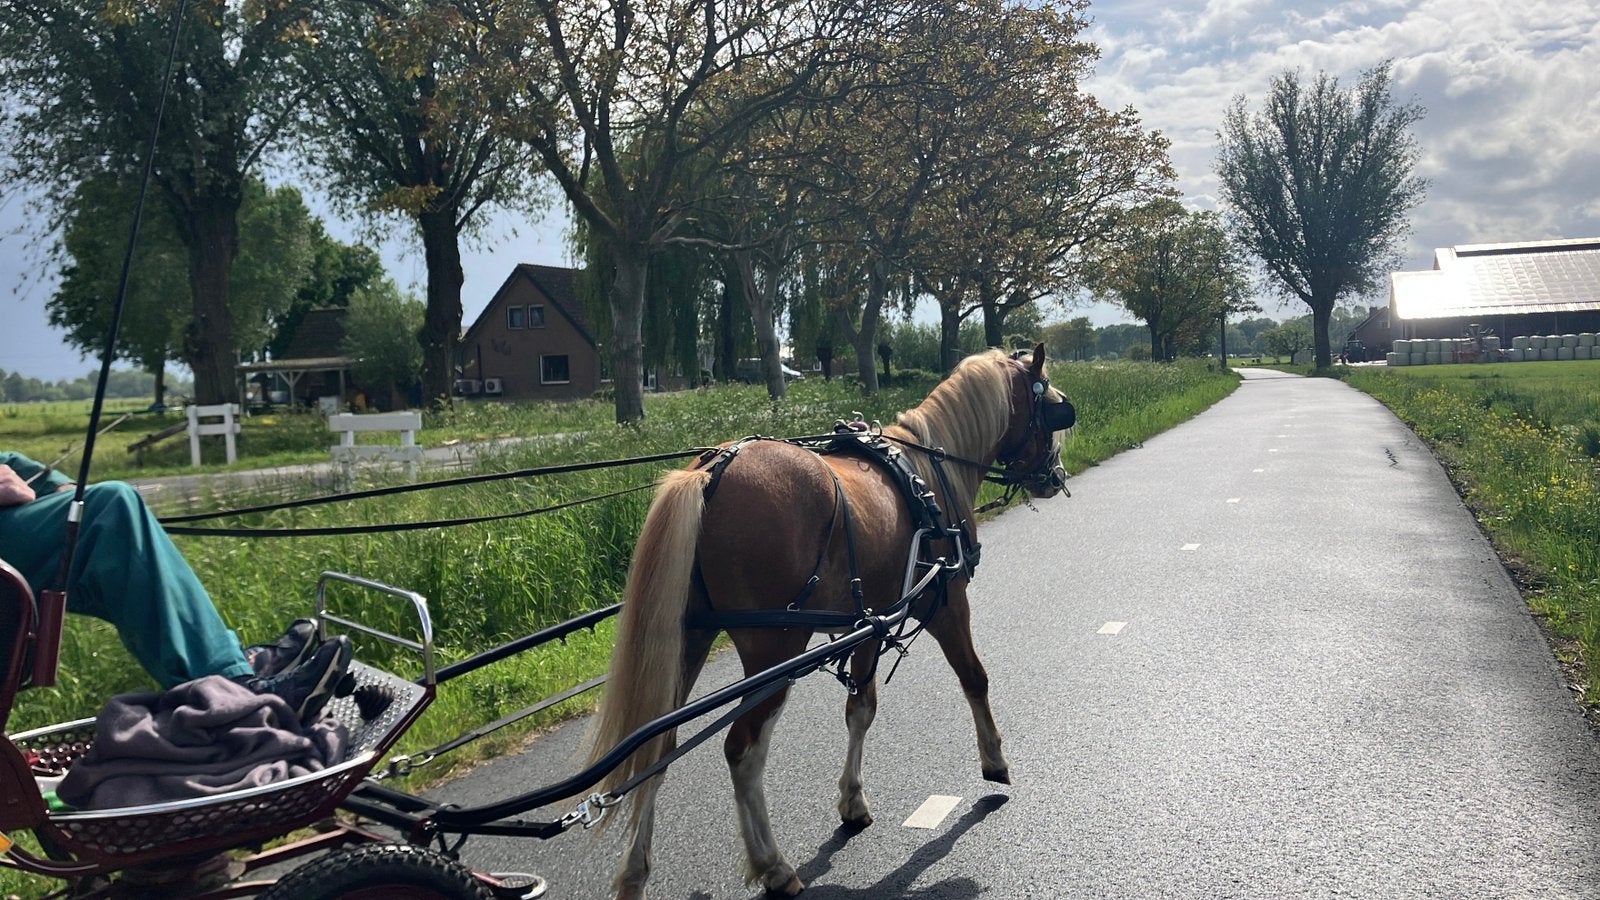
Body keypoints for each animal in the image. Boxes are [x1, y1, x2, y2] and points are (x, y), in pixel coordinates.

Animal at [584, 344, 1075, 899]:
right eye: (1052, 409)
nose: (1057, 476)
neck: (930, 474)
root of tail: (713, 470)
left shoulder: (871, 624)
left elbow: (860, 709)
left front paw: (853, 801)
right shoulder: (947, 603)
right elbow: (974, 677)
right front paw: (994, 761)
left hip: (688, 640)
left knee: (654, 751)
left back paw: (635, 874)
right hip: (775, 649)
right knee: (743, 751)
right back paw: (773, 866)